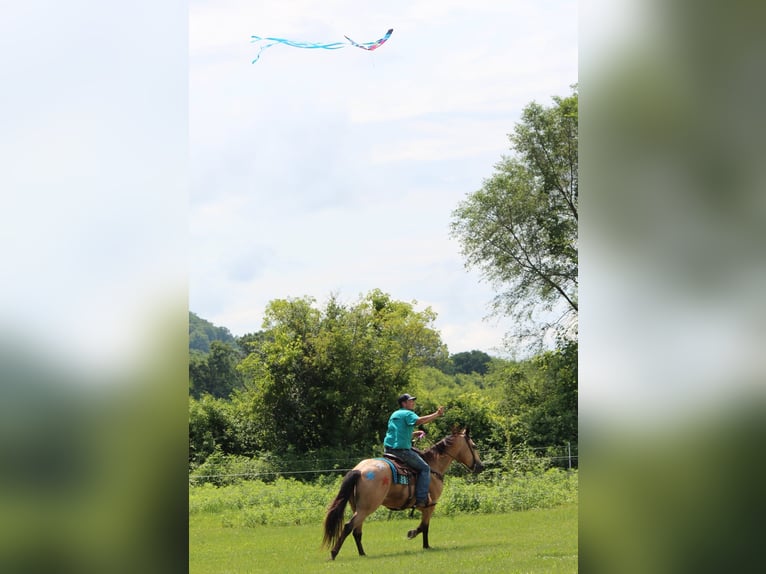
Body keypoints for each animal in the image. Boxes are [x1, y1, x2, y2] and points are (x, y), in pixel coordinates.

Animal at [322, 427, 484, 560]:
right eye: (474, 446)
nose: (480, 466)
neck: (432, 467)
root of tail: (359, 470)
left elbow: (424, 526)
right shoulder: (429, 506)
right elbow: (424, 526)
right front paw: (420, 541)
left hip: (358, 507)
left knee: (357, 531)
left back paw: (362, 554)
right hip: (366, 508)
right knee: (349, 526)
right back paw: (334, 553)